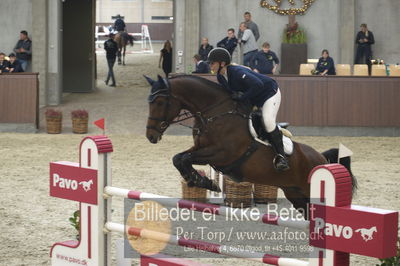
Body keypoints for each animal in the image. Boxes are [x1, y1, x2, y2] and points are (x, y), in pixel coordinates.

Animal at [144, 74, 356, 214]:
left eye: (160, 102)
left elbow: (184, 158)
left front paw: (204, 182)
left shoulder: (222, 154)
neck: (216, 113)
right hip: (295, 194)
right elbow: (179, 158)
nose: (150, 136)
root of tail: (322, 159)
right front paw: (199, 180)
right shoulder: (200, 149)